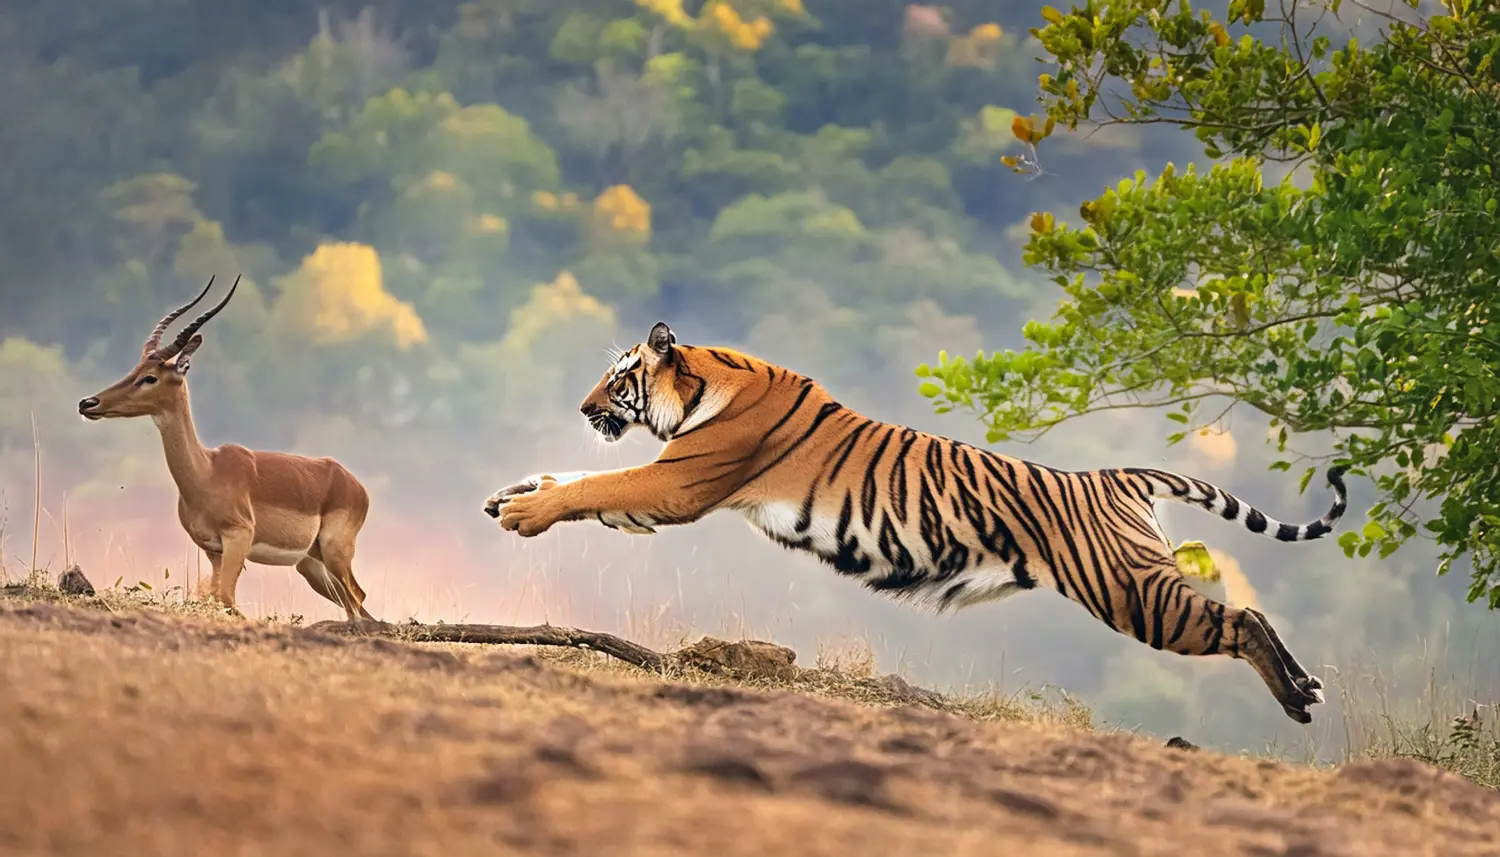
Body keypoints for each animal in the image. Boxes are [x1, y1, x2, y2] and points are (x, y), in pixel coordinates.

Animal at [77, 276, 378, 625]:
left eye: (150, 377)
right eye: (134, 369)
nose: (88, 403)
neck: (207, 472)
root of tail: (354, 484)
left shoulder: (238, 539)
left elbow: (226, 598)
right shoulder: (214, 550)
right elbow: (220, 598)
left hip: (334, 553)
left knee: (356, 598)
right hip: (312, 565)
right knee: (356, 601)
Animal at [484, 322, 1348, 724]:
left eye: (616, 377)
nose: (584, 408)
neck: (705, 382)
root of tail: (1115, 474)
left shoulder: (681, 480)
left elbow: (599, 484)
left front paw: (524, 510)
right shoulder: (664, 485)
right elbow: (590, 483)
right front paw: (512, 492)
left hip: (1133, 592)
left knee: (1241, 616)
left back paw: (1296, 696)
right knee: (1246, 612)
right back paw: (1306, 682)